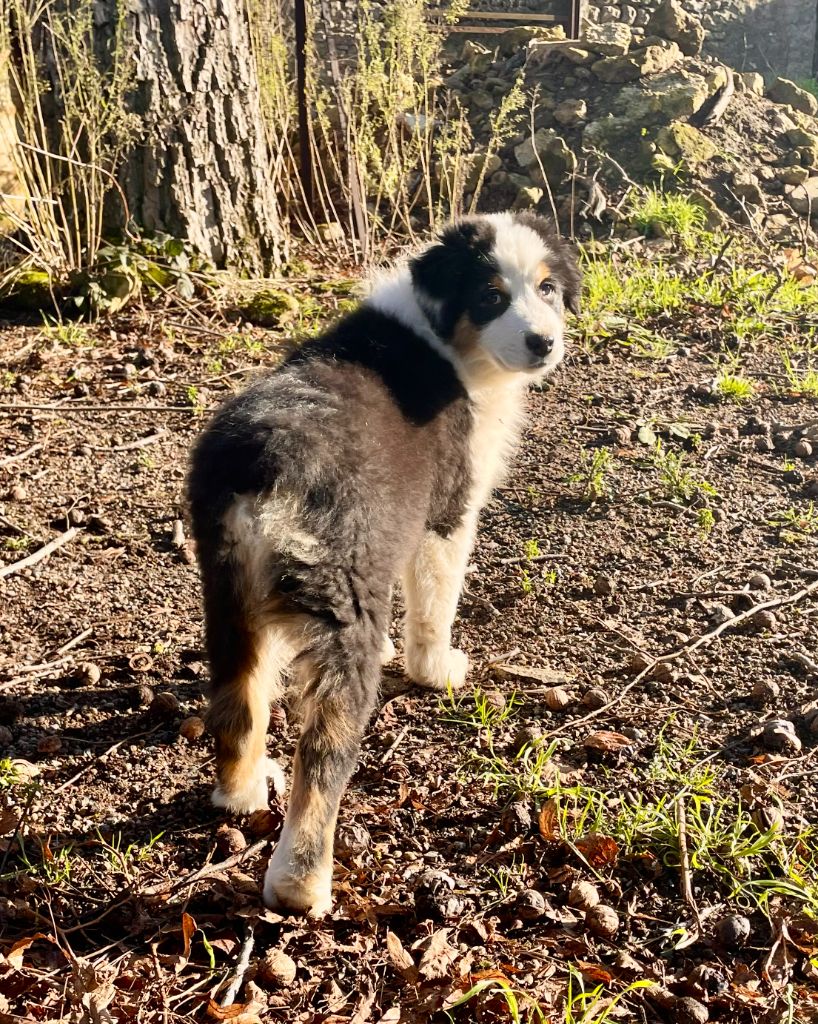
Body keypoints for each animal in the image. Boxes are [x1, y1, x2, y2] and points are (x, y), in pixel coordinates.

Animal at [187, 211, 581, 917]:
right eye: (490, 296)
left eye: (548, 289)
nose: (544, 343)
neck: (445, 335)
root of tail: (265, 467)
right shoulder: (445, 518)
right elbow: (434, 604)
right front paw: (436, 670)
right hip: (340, 611)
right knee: (324, 755)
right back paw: (301, 885)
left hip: (229, 592)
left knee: (239, 701)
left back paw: (242, 792)